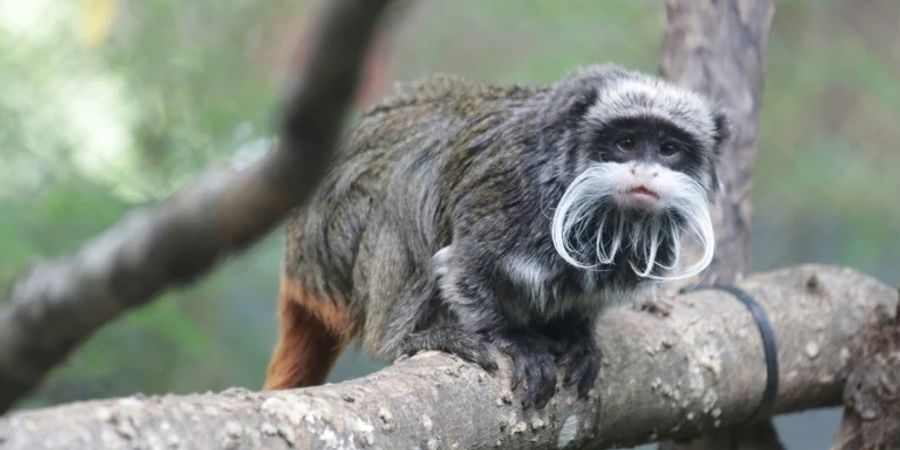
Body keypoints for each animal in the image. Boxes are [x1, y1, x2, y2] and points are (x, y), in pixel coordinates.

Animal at [264, 64, 728, 408]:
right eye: (626, 142)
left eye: (669, 149)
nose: (645, 172)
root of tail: (296, 260)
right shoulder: (508, 195)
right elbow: (464, 269)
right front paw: (514, 340)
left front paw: (578, 335)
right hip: (332, 245)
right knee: (409, 183)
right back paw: (407, 336)